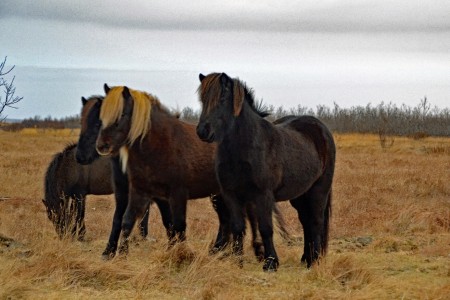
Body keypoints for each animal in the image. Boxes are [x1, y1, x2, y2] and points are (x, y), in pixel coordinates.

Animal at [196, 73, 334, 272]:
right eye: (202, 99)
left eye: (222, 98)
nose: (202, 131)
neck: (245, 148)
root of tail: (322, 129)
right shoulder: (231, 194)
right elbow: (238, 227)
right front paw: (238, 261)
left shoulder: (263, 195)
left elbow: (266, 228)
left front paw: (270, 262)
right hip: (300, 194)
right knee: (306, 221)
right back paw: (306, 258)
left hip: (319, 189)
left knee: (316, 221)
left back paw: (313, 261)